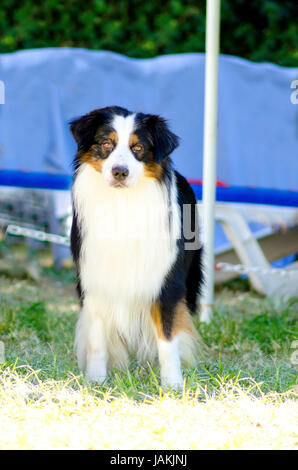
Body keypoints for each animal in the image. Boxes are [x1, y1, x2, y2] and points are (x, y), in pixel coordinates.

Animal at [70, 106, 203, 390]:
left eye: (138, 148)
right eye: (106, 144)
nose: (120, 171)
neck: (123, 203)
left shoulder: (165, 283)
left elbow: (167, 337)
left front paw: (173, 384)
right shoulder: (94, 279)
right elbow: (97, 339)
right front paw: (96, 380)